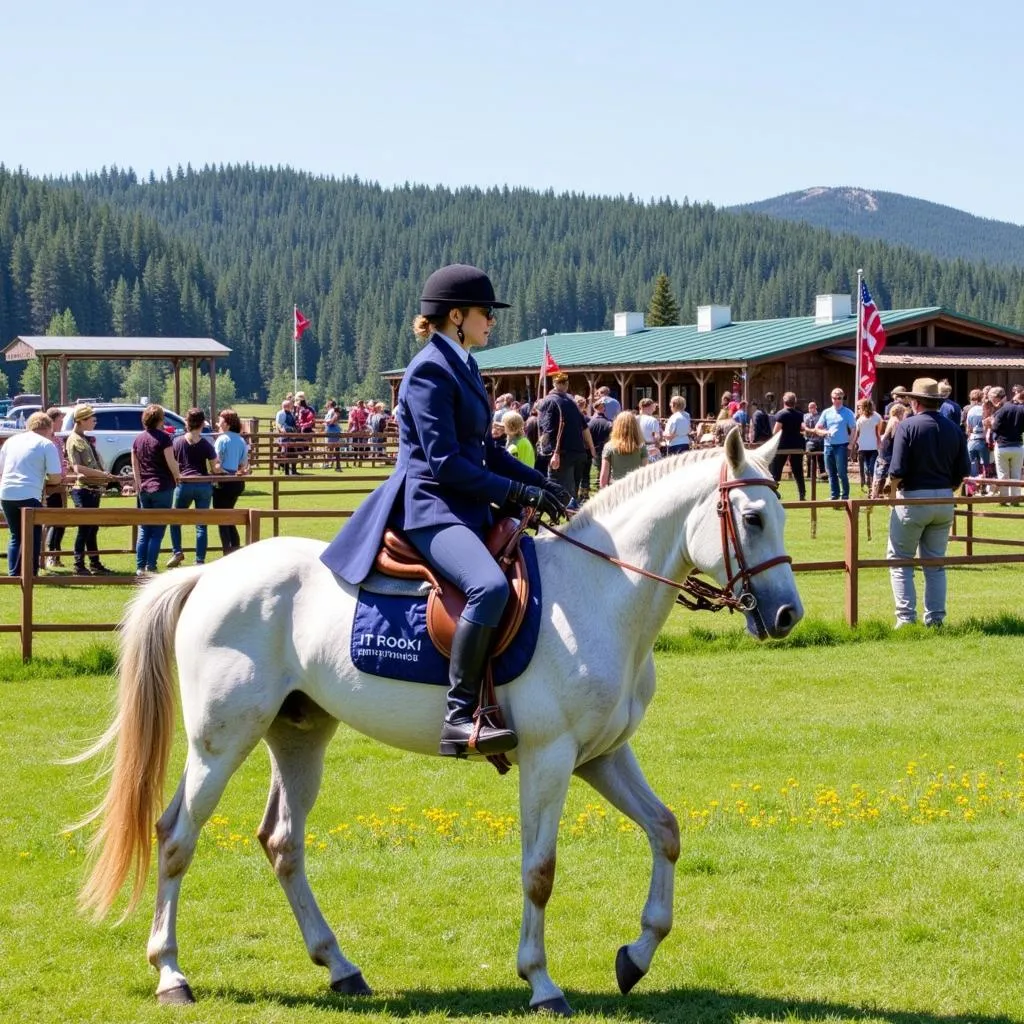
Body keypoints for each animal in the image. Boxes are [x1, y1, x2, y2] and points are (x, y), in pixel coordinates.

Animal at [77, 428, 798, 1011]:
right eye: (752, 517)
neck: (599, 591)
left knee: (282, 842)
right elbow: (540, 871)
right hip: (221, 741)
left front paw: (636, 956)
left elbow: (666, 831)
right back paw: (171, 975)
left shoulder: (600, 755)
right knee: (176, 838)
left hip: (298, 733)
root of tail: (210, 575)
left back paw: (340, 967)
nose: (788, 615)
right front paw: (541, 983)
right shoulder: (550, 758)